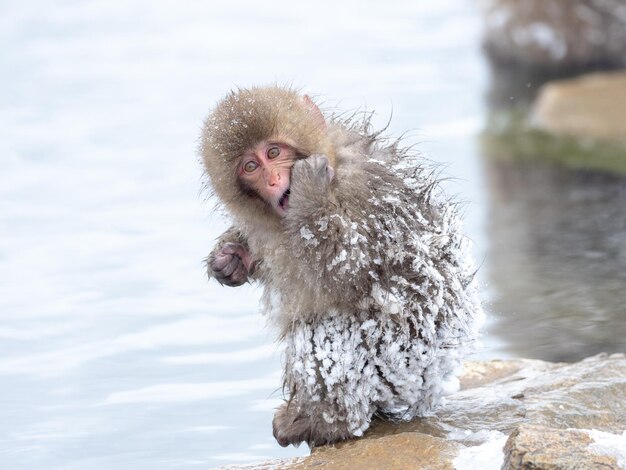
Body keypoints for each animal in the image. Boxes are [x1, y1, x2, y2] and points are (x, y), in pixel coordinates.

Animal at [200, 85, 482, 448]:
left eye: (273, 152)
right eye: (251, 166)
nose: (275, 179)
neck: (334, 162)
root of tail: (435, 384)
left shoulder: (370, 195)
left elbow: (350, 268)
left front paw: (310, 193)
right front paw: (230, 257)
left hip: (403, 364)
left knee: (328, 329)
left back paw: (328, 422)